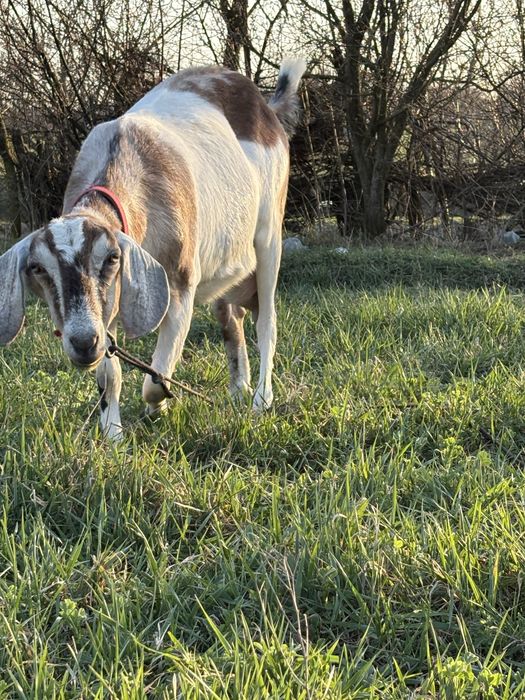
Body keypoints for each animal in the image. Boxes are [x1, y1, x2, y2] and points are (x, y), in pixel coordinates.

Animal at [0, 59, 306, 439]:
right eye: (38, 268)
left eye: (112, 258)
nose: (84, 343)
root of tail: (266, 106)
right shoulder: (108, 309)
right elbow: (110, 374)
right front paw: (113, 434)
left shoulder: (179, 284)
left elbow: (156, 377)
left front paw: (156, 406)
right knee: (230, 319)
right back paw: (239, 389)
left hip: (268, 236)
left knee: (267, 322)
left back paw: (261, 400)